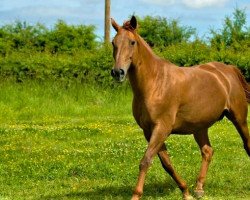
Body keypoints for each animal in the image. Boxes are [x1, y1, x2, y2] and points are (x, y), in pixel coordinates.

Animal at [110, 16, 249, 200]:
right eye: (113, 43)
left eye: (132, 42)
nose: (117, 72)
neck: (156, 82)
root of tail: (229, 70)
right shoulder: (149, 131)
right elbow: (166, 163)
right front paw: (186, 191)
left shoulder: (161, 128)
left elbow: (146, 160)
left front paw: (136, 195)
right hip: (200, 127)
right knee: (207, 151)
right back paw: (199, 188)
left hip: (239, 118)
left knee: (246, 144)